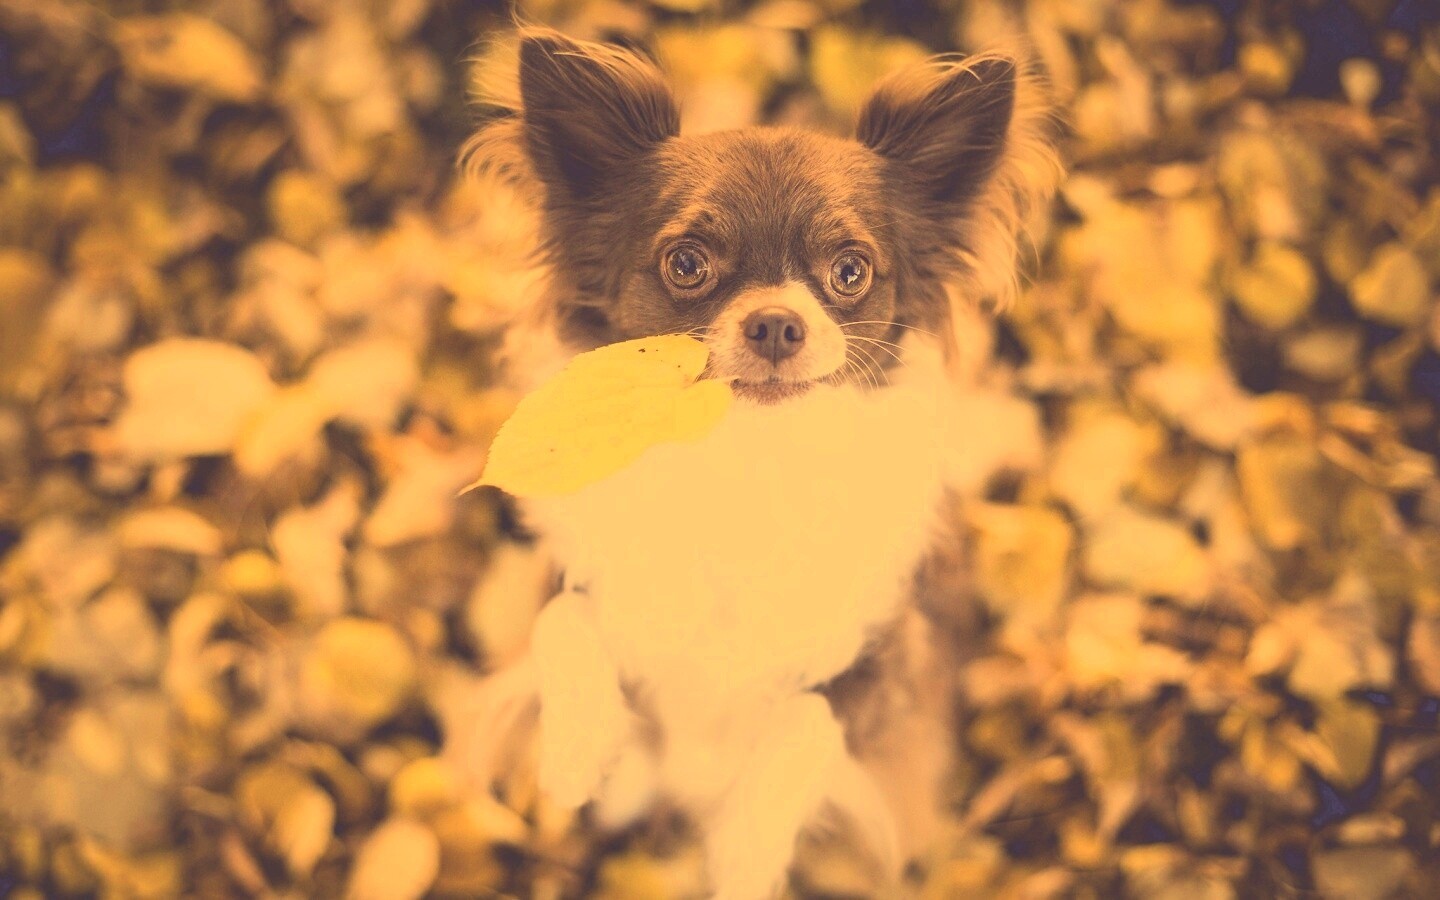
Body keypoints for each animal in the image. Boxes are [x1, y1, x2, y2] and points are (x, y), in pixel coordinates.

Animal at [461, 27, 1059, 899]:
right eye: (686, 264)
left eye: (850, 271)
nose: (777, 322)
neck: (742, 460)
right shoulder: (582, 569)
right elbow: (561, 617)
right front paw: (576, 752)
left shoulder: (888, 664)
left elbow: (812, 718)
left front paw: (745, 852)